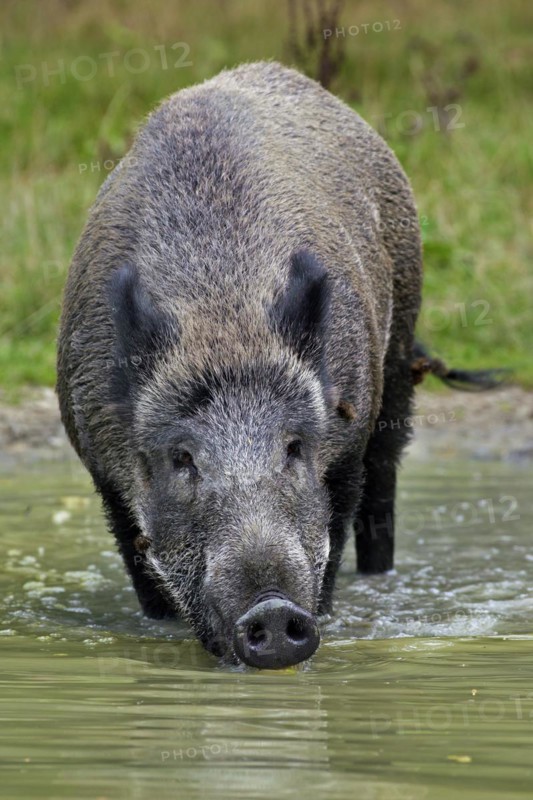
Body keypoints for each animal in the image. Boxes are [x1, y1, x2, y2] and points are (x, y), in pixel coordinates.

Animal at [57, 61, 423, 668]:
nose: (272, 612)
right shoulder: (103, 470)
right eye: (182, 457)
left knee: (385, 483)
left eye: (294, 447)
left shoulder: (342, 450)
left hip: (396, 362)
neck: (222, 323)